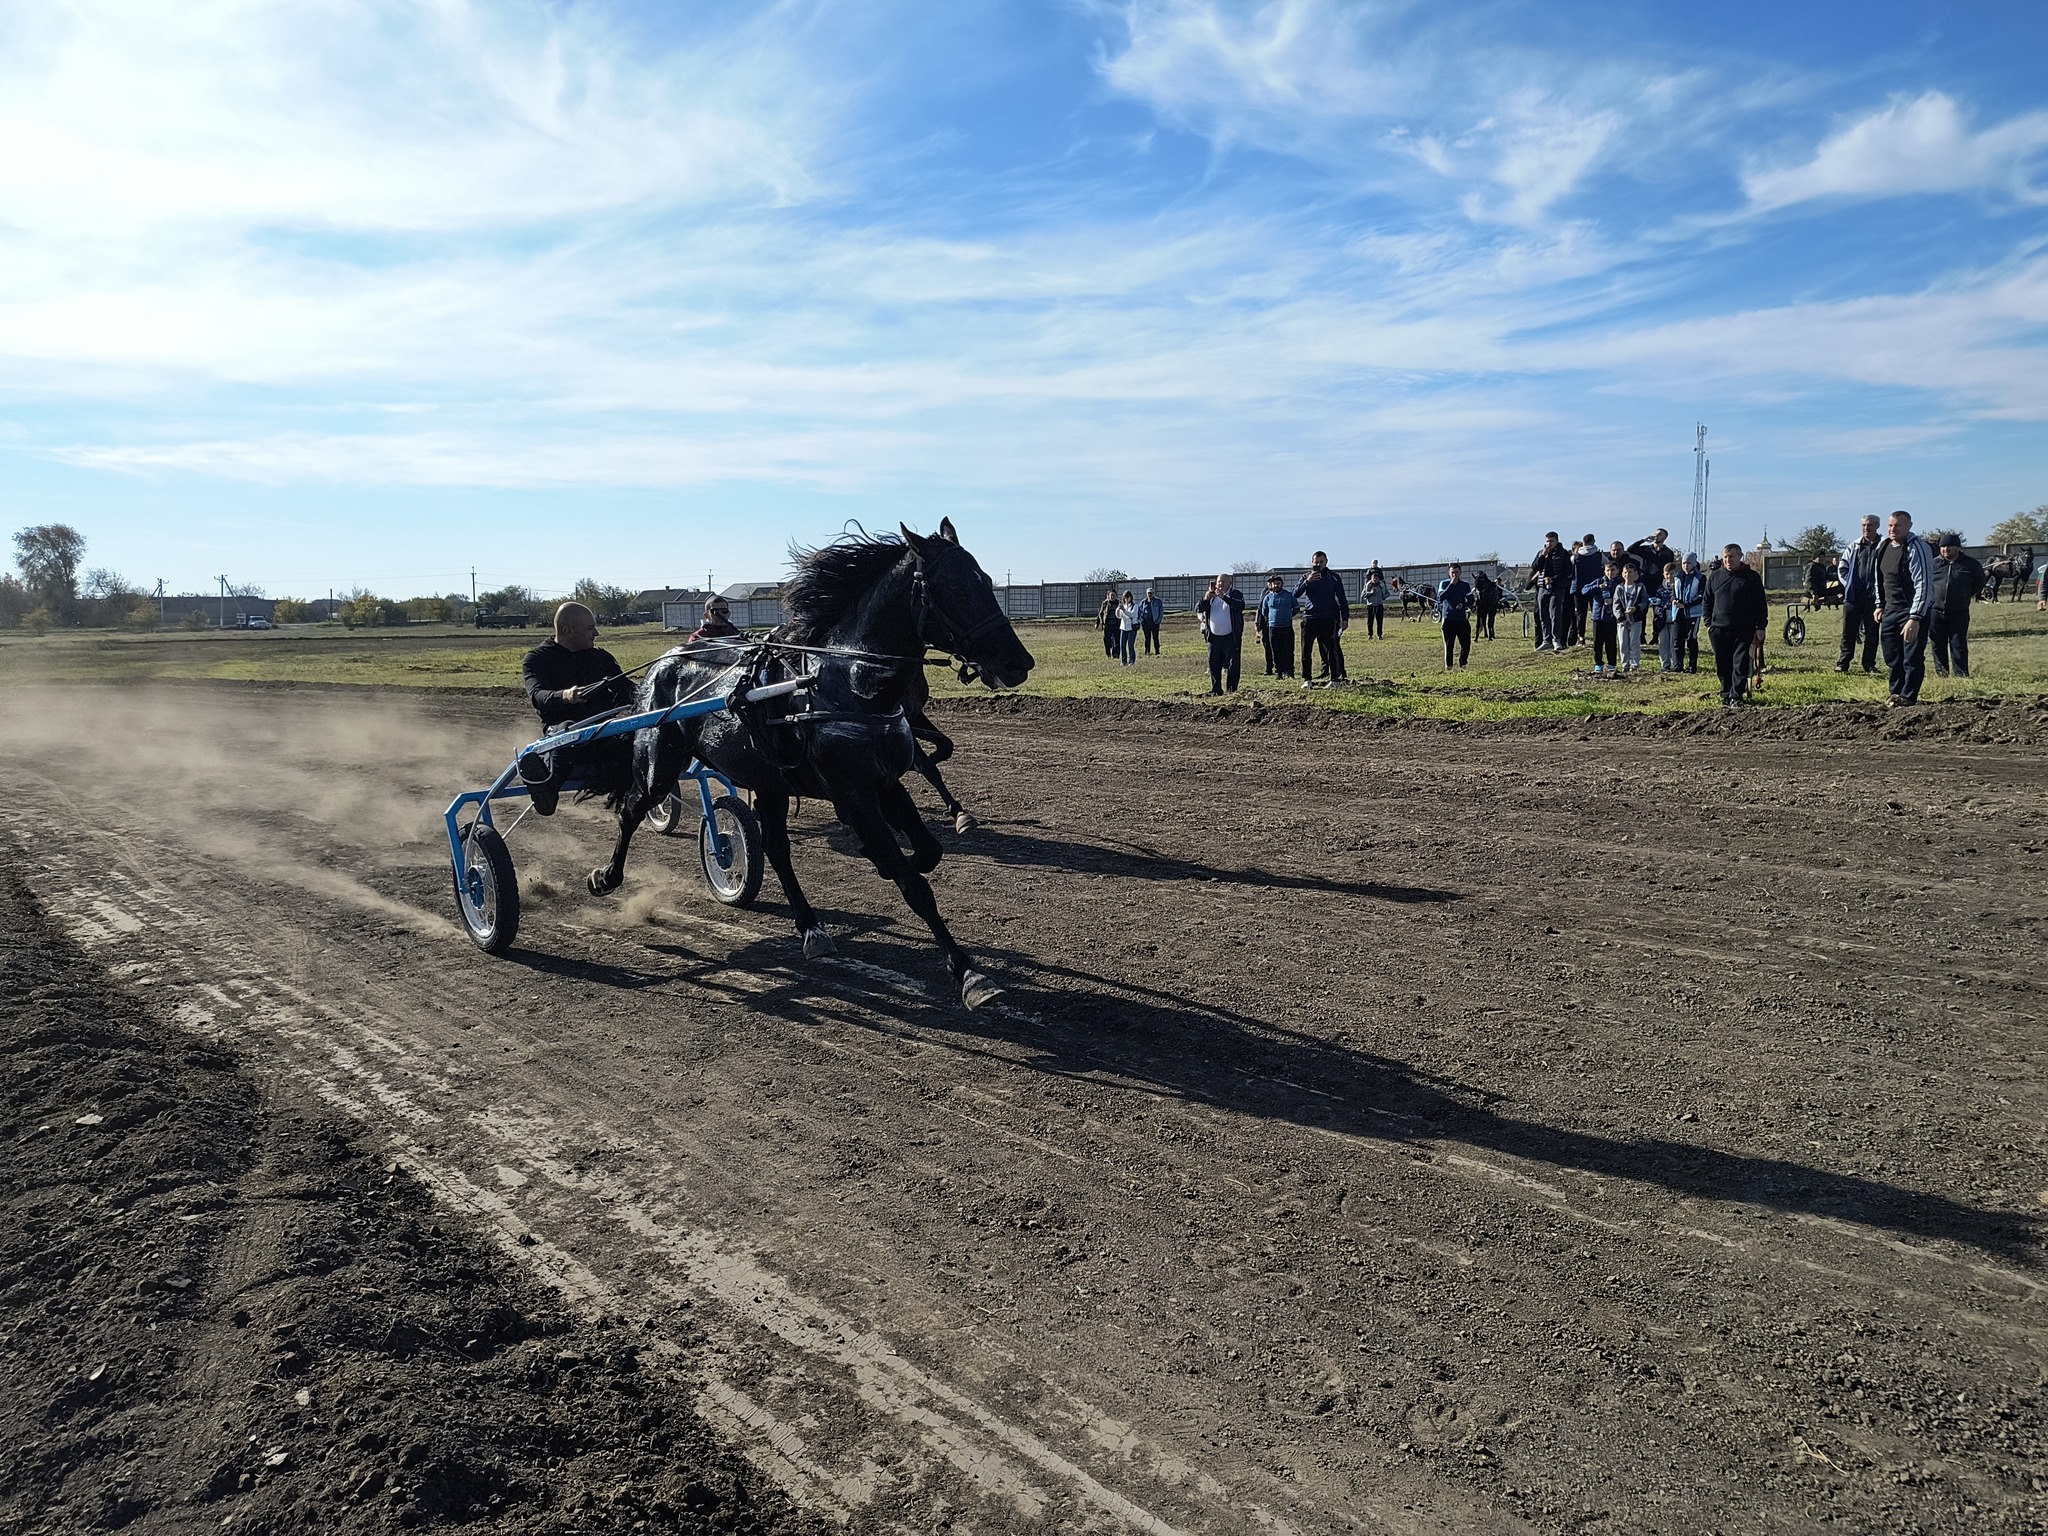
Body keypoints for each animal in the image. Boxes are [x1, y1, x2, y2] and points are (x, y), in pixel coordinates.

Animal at [593, 524, 1040, 1015]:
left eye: (987, 581)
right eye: (957, 587)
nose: (1018, 663)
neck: (848, 681)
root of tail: (663, 662)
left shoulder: (886, 783)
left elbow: (926, 853)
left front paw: (885, 859)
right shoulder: (853, 791)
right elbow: (916, 886)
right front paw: (970, 973)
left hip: (769, 781)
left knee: (775, 848)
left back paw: (811, 928)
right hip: (659, 766)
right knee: (633, 809)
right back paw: (606, 877)